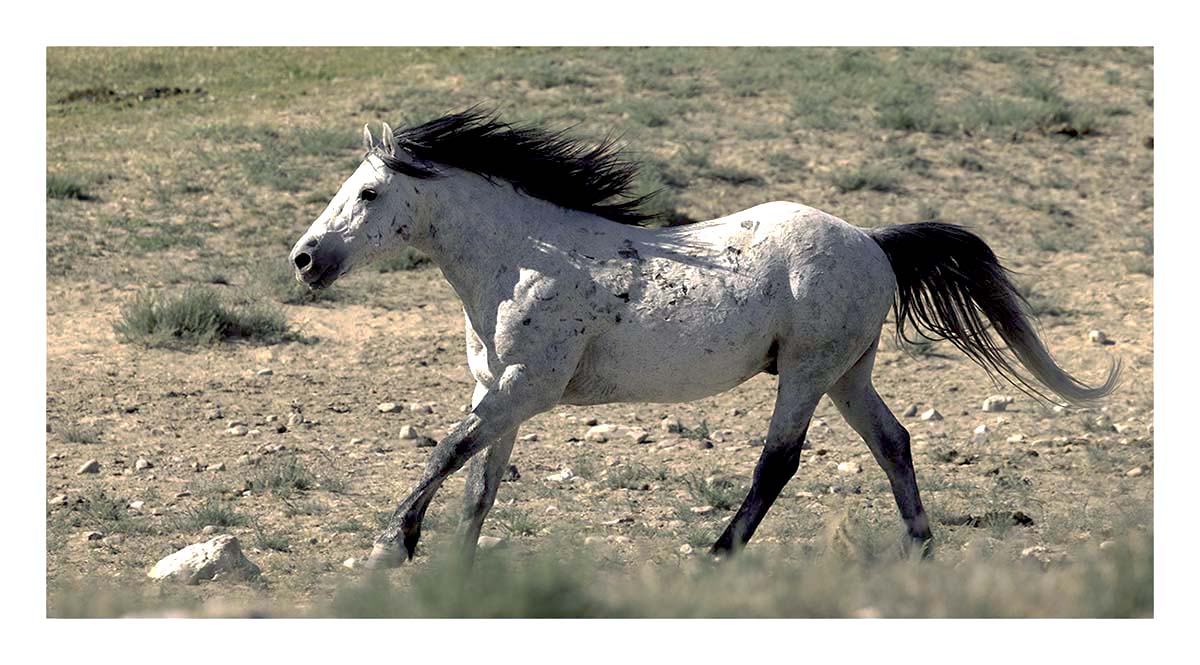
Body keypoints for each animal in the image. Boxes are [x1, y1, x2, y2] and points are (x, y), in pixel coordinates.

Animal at [288, 109, 1119, 570]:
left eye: (368, 192)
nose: (305, 258)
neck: (522, 257)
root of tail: (875, 242)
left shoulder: (524, 388)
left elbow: (444, 455)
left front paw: (388, 547)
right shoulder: (498, 390)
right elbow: (478, 484)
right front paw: (455, 568)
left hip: (807, 373)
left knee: (778, 463)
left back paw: (717, 555)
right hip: (848, 374)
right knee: (895, 443)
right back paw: (920, 550)